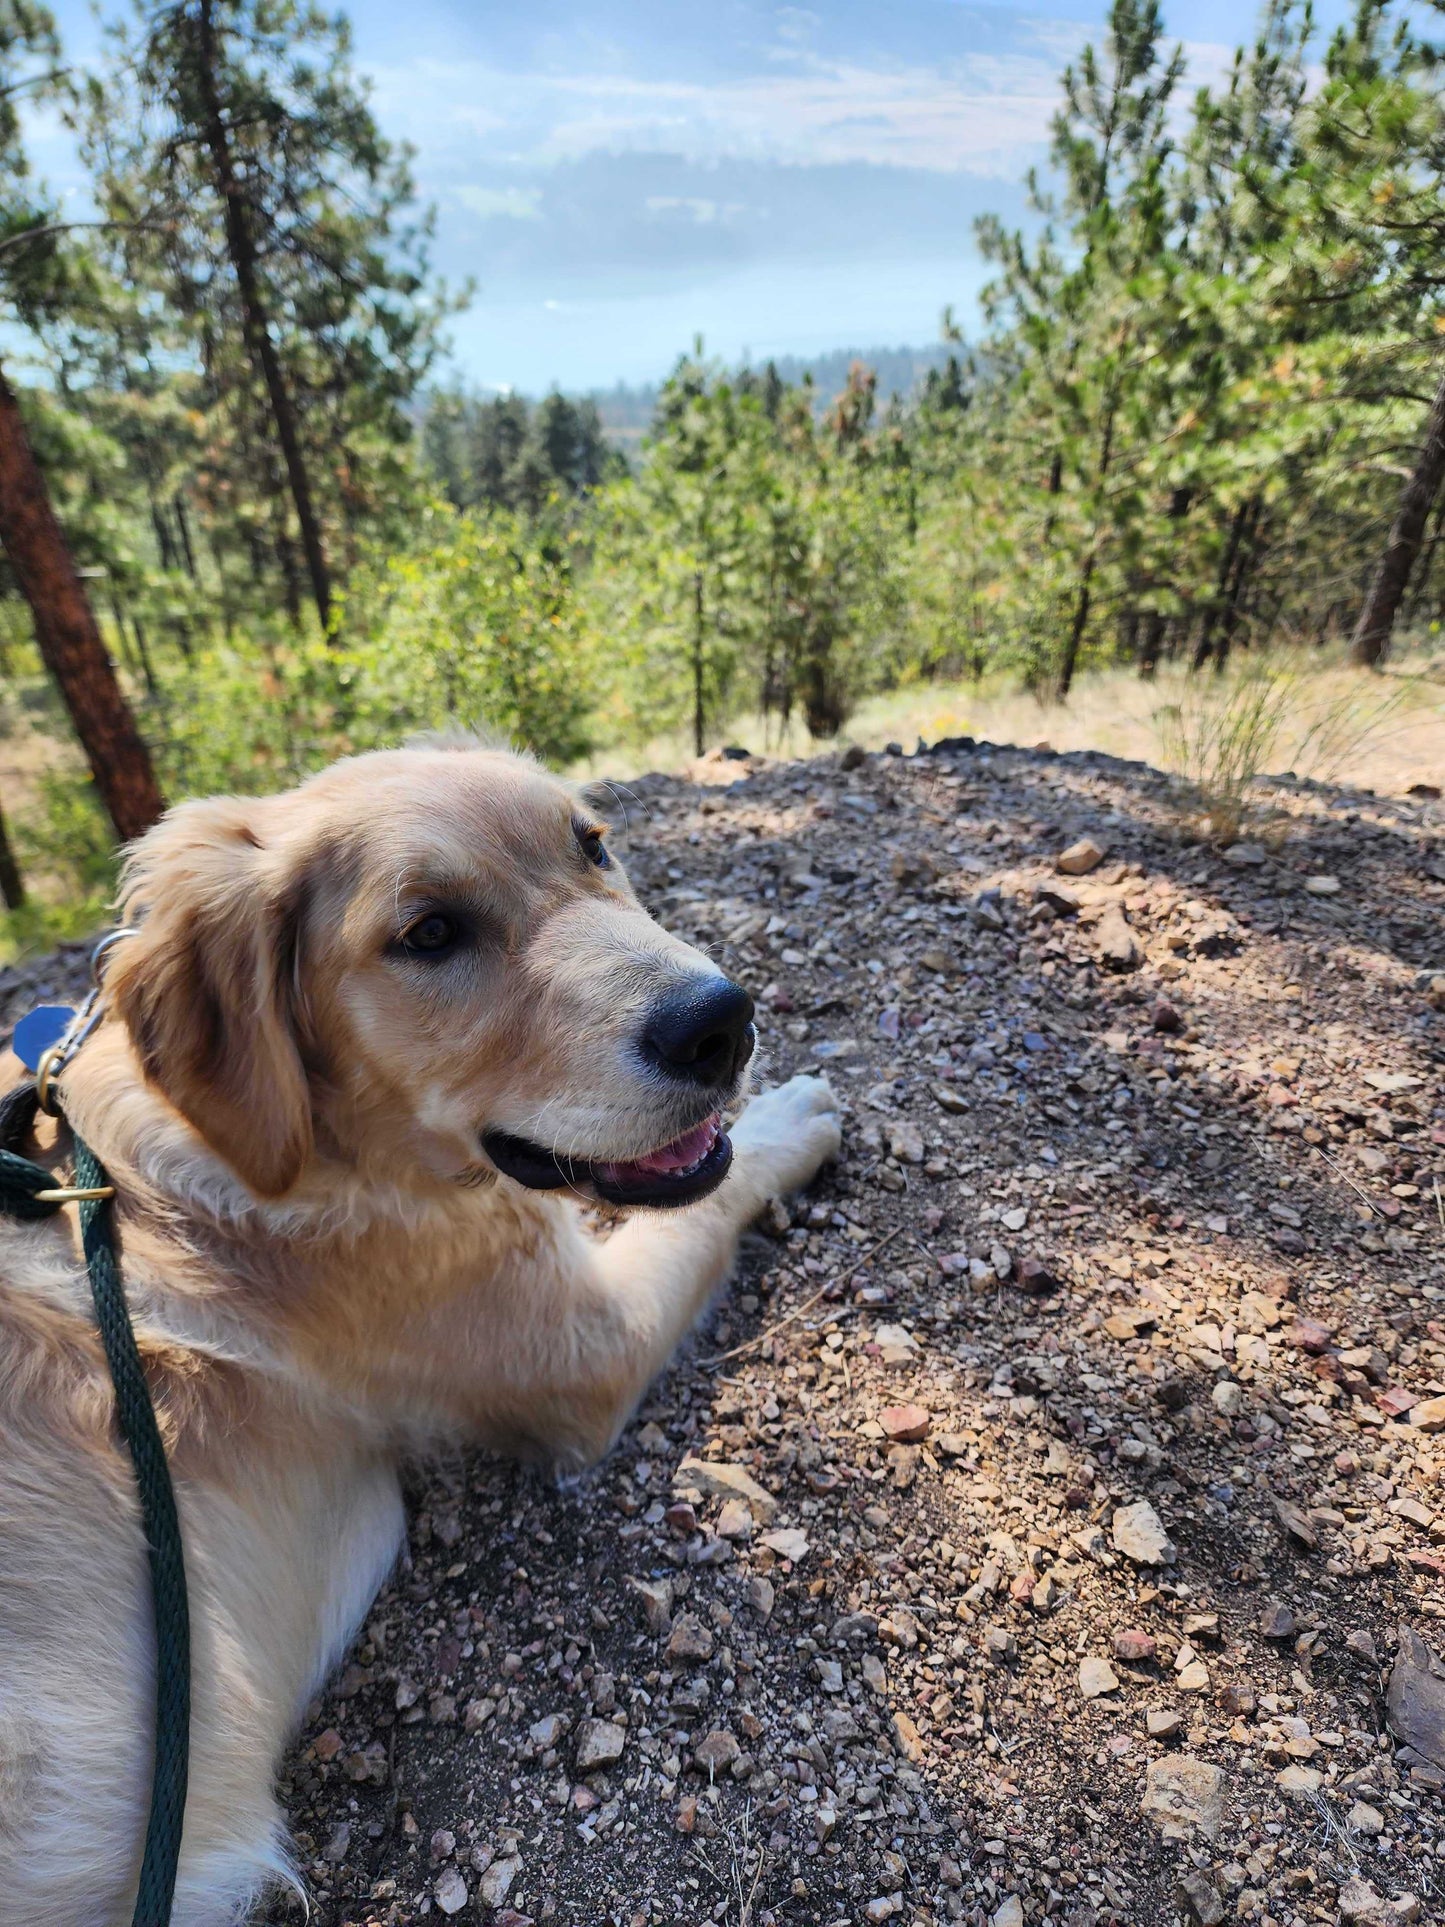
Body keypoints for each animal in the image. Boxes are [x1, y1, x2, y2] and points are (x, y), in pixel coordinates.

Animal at [0, 739, 843, 1927]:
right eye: (430, 935)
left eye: (592, 845)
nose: (721, 1022)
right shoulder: (588, 1346)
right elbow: (717, 1192)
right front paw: (789, 1115)